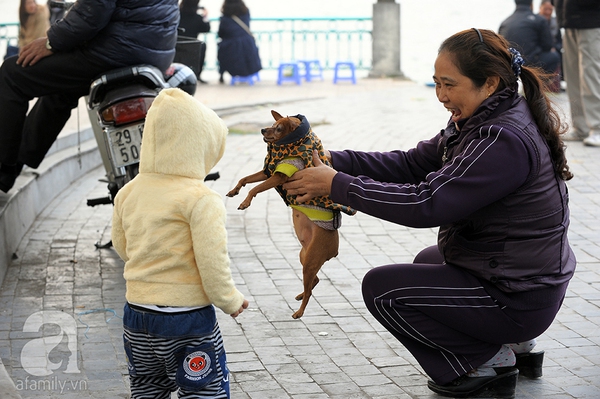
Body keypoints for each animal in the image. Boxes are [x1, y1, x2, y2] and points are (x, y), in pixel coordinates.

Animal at [227, 110, 354, 318]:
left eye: (278, 129)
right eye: (272, 124)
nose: (263, 130)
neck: (291, 144)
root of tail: (335, 249)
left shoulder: (279, 175)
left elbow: (255, 189)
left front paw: (245, 202)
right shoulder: (268, 173)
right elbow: (245, 178)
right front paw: (234, 191)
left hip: (310, 261)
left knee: (310, 288)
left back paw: (299, 312)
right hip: (304, 257)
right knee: (314, 281)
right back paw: (300, 295)